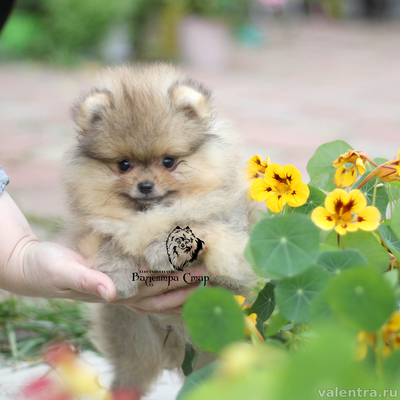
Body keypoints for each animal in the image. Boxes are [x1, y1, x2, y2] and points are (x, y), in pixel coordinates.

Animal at [62, 63, 256, 394]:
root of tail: (175, 354)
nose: (145, 185)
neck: (150, 214)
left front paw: (161, 249)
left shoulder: (229, 234)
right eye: (124, 165)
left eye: (168, 162)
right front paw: (117, 271)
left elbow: (202, 225)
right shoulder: (96, 229)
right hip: (132, 336)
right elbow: (111, 241)